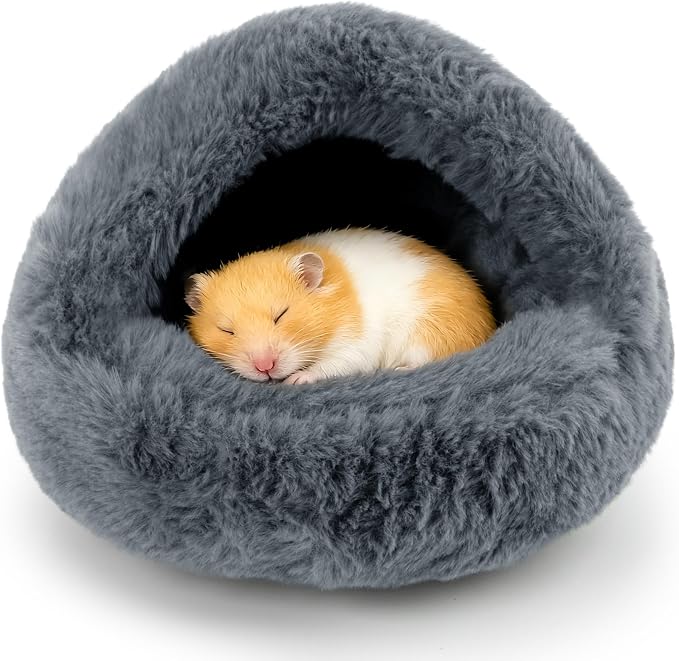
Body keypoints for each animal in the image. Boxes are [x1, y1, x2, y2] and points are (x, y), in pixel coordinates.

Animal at [185, 228, 495, 384]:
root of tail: (490, 325)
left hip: (429, 331)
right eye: (226, 330)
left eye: (281, 315)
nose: (265, 368)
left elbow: (334, 364)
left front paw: (295, 379)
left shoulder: (355, 342)